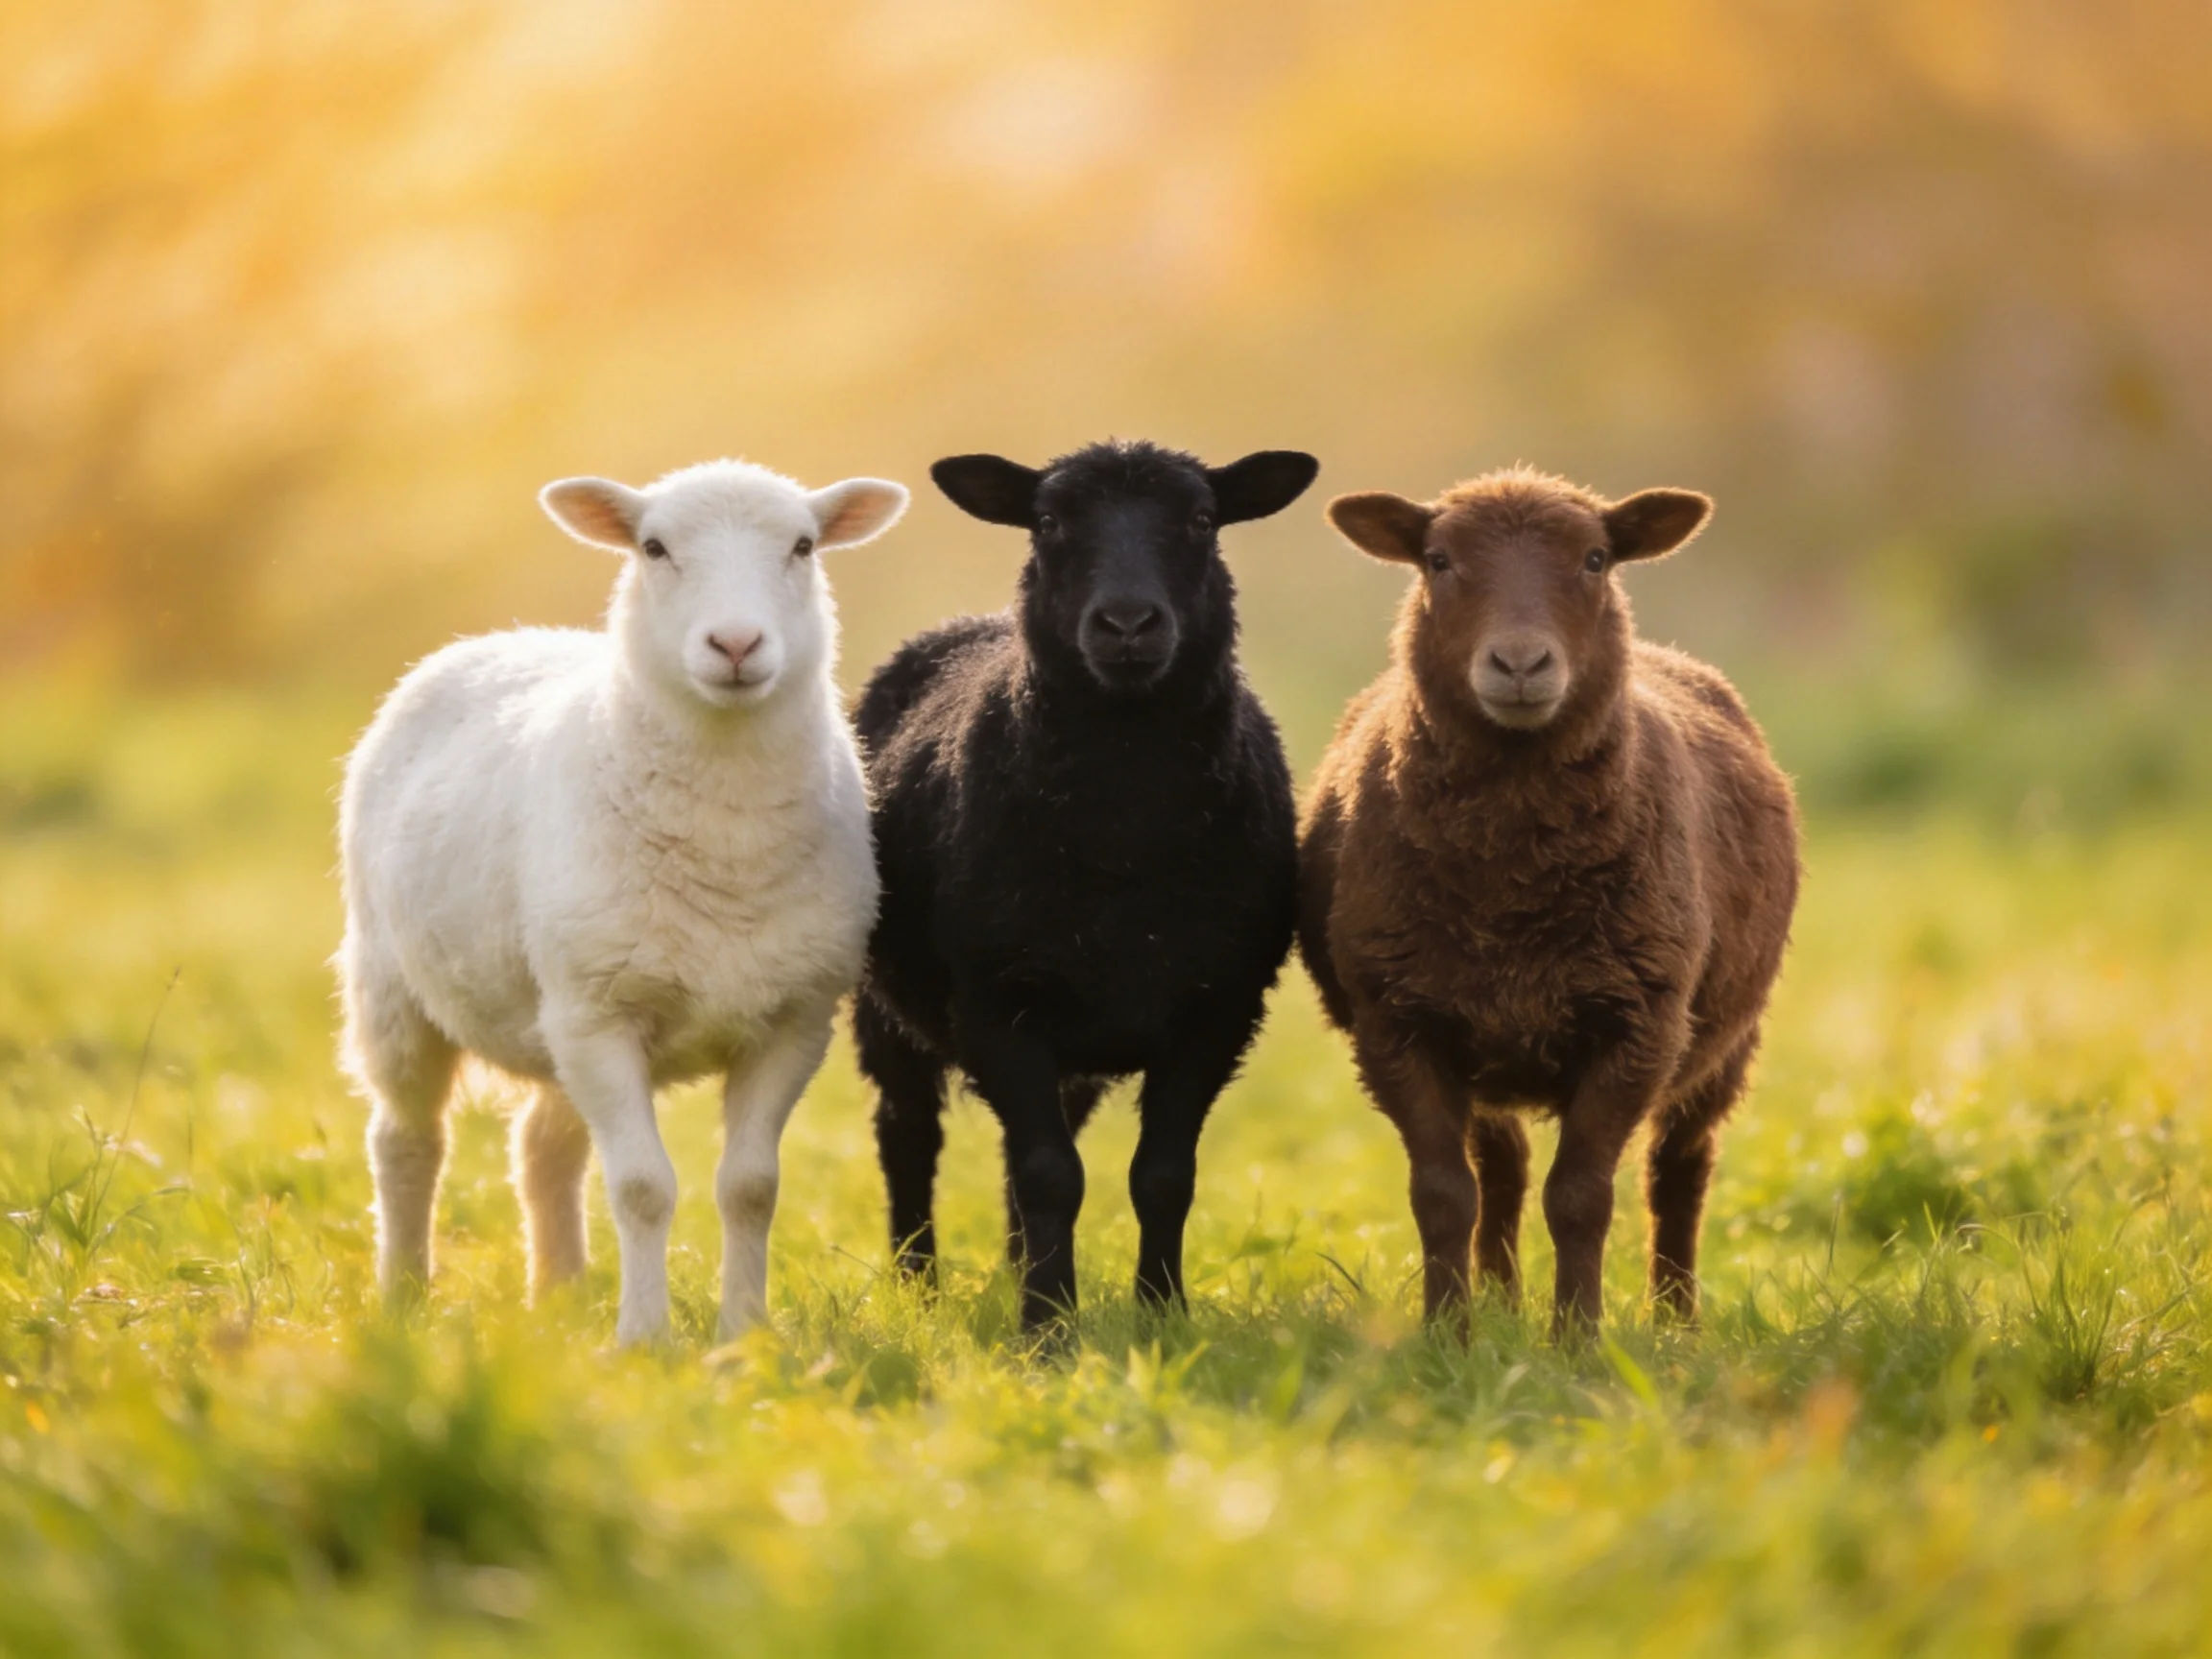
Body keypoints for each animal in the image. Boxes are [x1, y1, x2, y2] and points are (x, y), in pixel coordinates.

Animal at [337, 458, 908, 1346]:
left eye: (804, 546)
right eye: (653, 548)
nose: (736, 644)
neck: (727, 843)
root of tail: (505, 636)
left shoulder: (793, 1021)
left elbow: (751, 1187)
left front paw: (744, 1335)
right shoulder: (599, 1018)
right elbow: (642, 1187)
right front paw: (644, 1340)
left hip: (558, 1013)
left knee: (543, 1146)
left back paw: (560, 1295)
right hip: (398, 988)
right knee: (405, 1141)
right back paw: (404, 1297)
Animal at [852, 439, 1319, 1331]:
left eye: (1202, 519)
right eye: (1047, 521)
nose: (1128, 624)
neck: (1124, 835)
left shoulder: (1216, 1008)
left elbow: (1161, 1176)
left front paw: (1161, 1314)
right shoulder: (999, 1001)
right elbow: (1049, 1174)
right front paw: (1047, 1329)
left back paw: (1010, 1269)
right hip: (884, 1000)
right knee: (907, 1132)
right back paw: (918, 1286)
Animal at [1298, 466, 1800, 1335]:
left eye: (1596, 559)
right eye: (1438, 560)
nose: (1521, 662)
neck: (1512, 887)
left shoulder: (1638, 1026)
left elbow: (1581, 1199)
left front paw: (1578, 1340)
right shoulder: (1397, 1024)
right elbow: (1443, 1194)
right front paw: (1449, 1335)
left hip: (1727, 1040)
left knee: (1680, 1172)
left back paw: (1676, 1318)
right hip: (1486, 1042)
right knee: (1502, 1170)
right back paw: (1501, 1302)